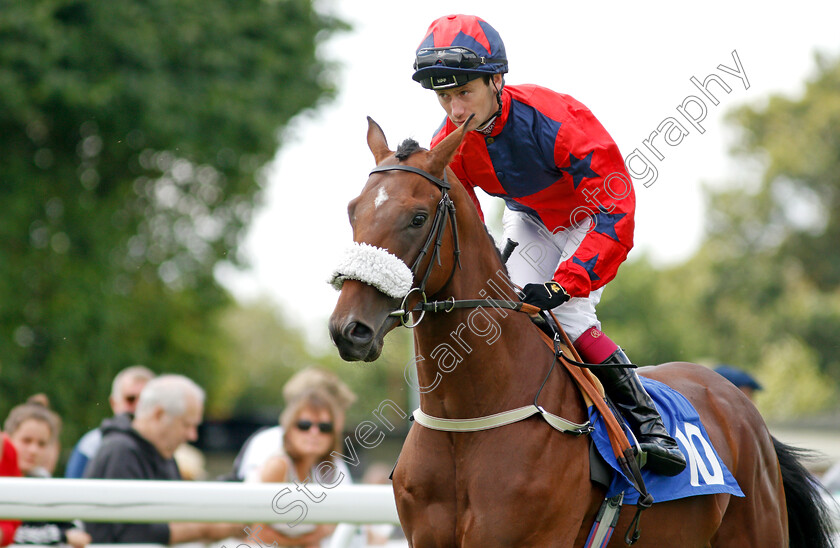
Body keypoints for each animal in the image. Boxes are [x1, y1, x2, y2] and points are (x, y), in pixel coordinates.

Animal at [328, 117, 832, 544]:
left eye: (417, 217)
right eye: (353, 211)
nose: (348, 329)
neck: (467, 420)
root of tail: (736, 401)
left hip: (758, 529)